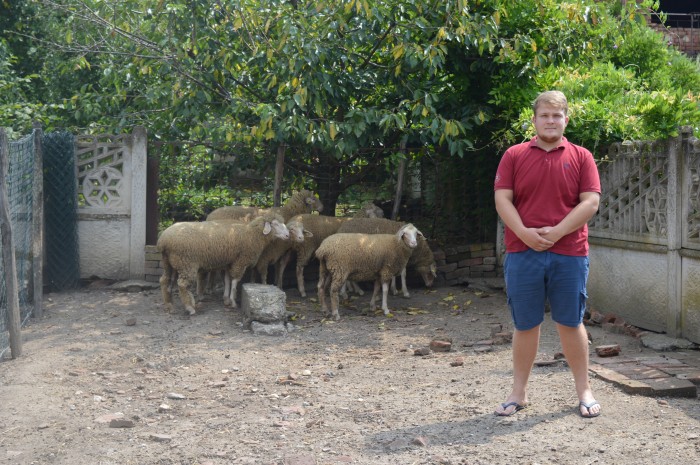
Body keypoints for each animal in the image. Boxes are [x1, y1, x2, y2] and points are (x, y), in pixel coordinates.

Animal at [157, 211, 288, 316]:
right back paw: (190, 307)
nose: (288, 235)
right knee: (182, 284)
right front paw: (233, 301)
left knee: (165, 280)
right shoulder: (240, 261)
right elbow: (235, 281)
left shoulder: (229, 262)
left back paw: (169, 304)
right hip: (186, 263)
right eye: (275, 224)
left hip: (170, 263)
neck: (251, 234)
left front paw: (226, 299)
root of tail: (164, 240)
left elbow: (227, 280)